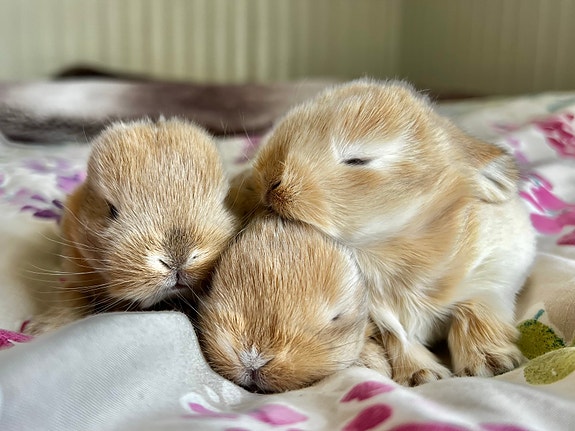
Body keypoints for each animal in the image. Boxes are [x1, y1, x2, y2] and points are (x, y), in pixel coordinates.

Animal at [237, 78, 537, 386]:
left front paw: (492, 364)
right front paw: (422, 376)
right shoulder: (383, 318)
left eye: (357, 160)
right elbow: (401, 339)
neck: (390, 247)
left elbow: (475, 316)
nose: (270, 181)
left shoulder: (492, 278)